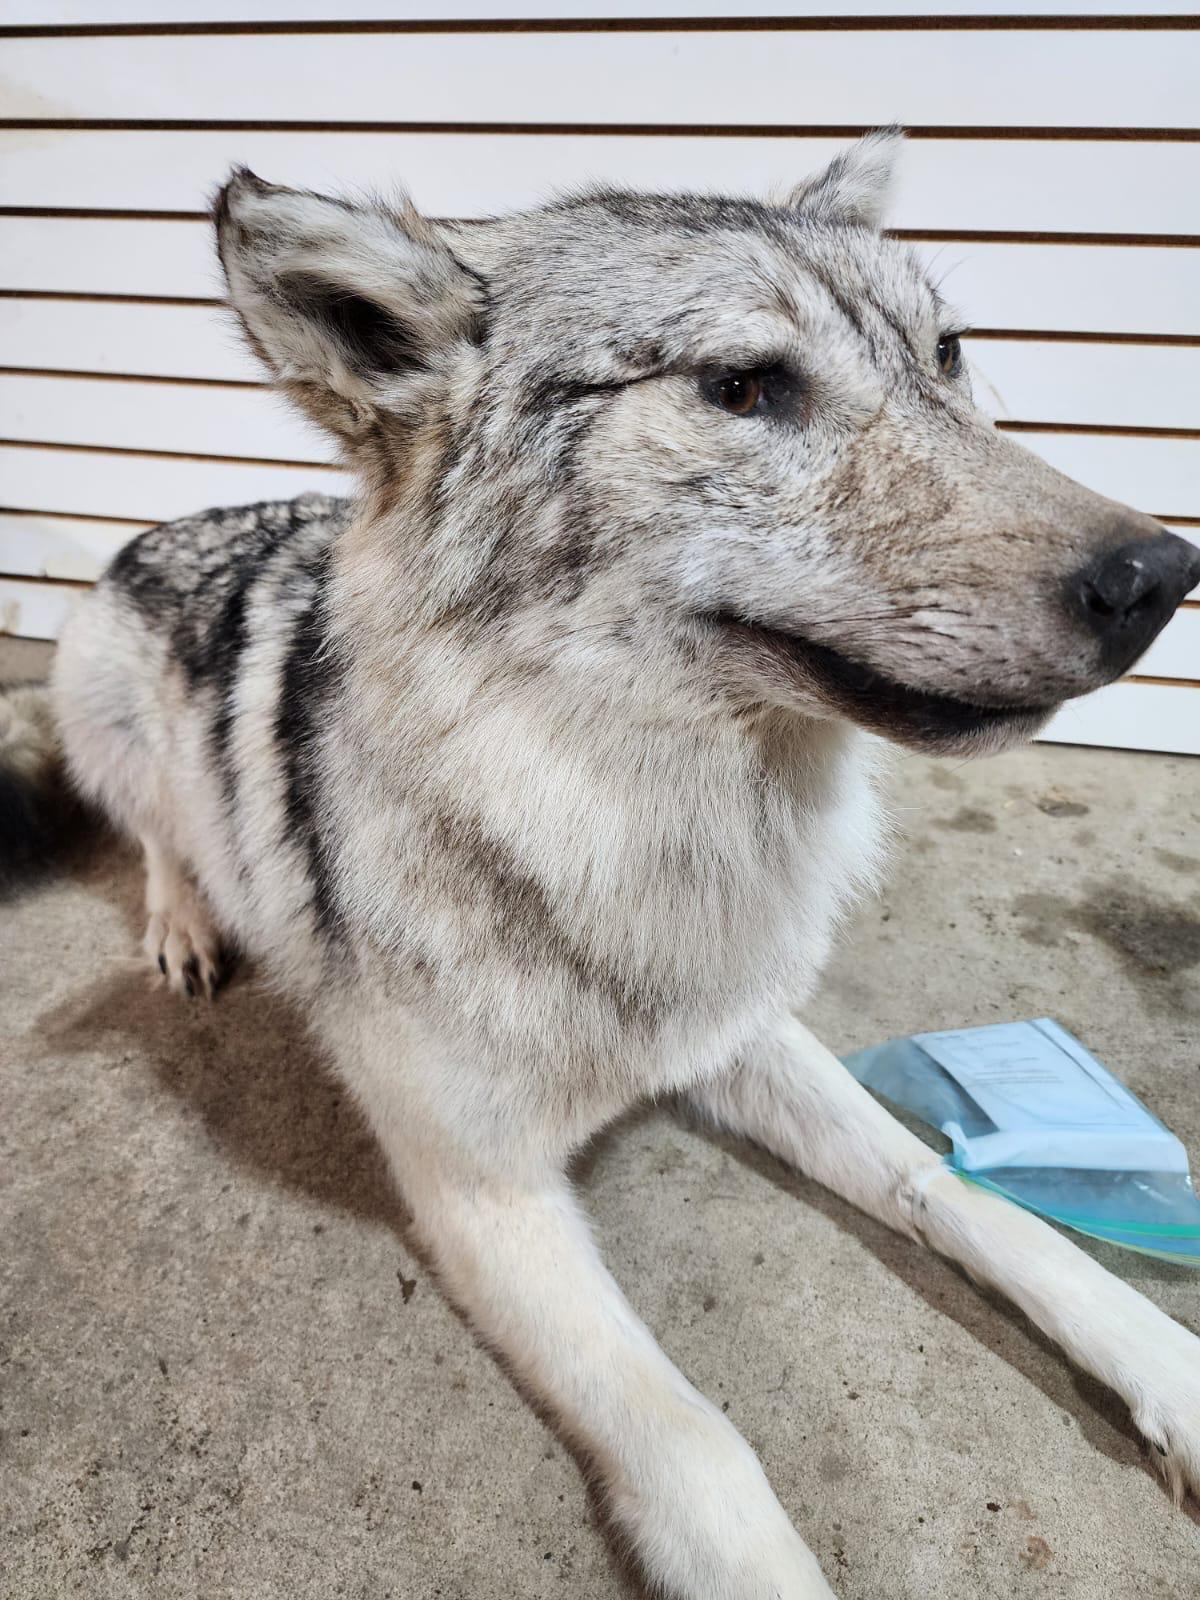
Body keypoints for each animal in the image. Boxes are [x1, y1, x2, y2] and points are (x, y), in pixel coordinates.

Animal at [5, 133, 1199, 1598]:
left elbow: (970, 1197)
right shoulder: (482, 1192)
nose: (1162, 573)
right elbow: (699, 1447)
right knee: (161, 834)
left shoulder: (741, 1033)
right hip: (100, 711)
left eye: (950, 353)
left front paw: (1169, 1369)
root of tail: (168, 520)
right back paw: (184, 921)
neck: (634, 823)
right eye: (744, 387)